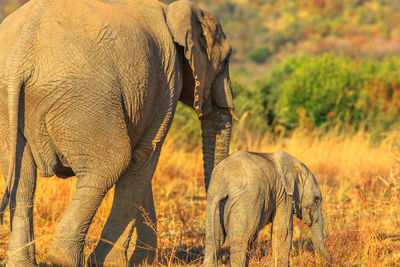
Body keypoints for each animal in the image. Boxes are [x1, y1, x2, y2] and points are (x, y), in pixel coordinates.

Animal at [0, 0, 236, 266]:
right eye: (226, 60)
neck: (173, 11)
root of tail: (21, 53)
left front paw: (142, 260)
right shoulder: (168, 79)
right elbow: (142, 159)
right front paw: (115, 263)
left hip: (11, 101)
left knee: (22, 180)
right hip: (83, 95)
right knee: (111, 163)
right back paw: (64, 259)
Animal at [203, 152, 332, 266]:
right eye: (316, 200)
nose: (332, 260)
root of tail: (225, 184)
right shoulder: (284, 194)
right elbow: (283, 231)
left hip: (213, 198)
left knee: (214, 240)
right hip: (247, 201)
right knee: (241, 241)